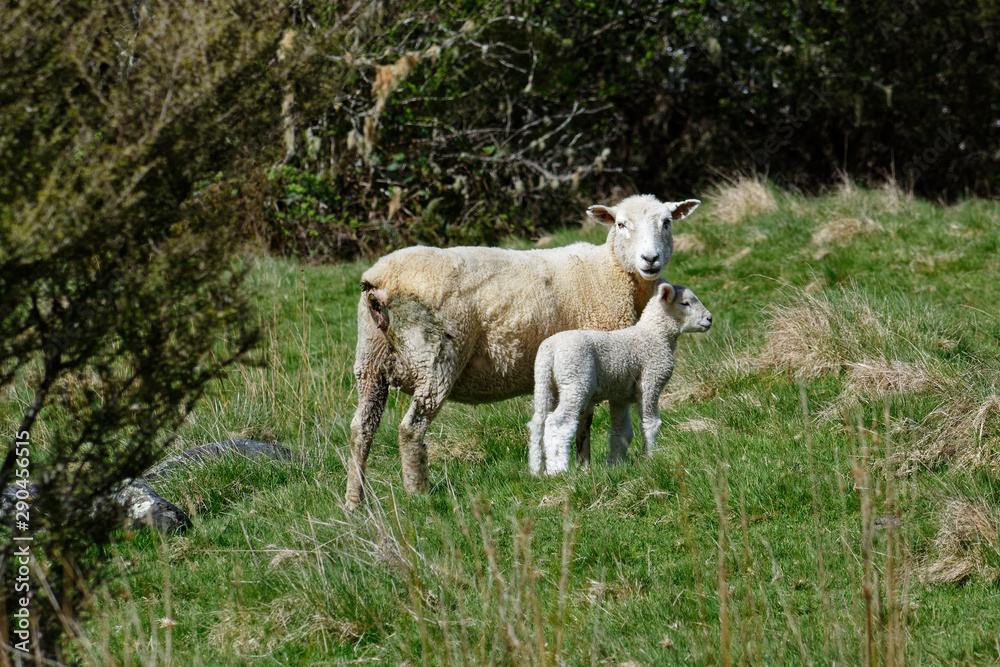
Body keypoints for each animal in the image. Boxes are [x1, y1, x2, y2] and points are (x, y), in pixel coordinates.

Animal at [528, 281, 712, 475]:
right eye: (685, 303)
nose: (710, 319)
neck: (654, 335)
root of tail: (551, 349)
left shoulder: (619, 396)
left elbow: (622, 431)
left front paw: (615, 464)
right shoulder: (651, 381)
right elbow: (651, 423)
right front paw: (650, 458)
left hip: (544, 383)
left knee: (538, 423)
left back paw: (537, 470)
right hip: (575, 380)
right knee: (559, 423)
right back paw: (558, 469)